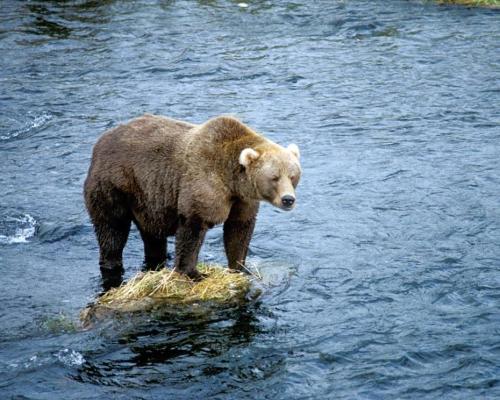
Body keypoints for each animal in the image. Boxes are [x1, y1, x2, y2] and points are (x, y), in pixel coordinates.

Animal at [84, 114, 300, 284]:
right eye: (274, 177)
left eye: (293, 176)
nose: (288, 199)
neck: (231, 180)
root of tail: (100, 142)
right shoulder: (203, 183)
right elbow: (192, 229)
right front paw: (193, 273)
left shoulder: (242, 200)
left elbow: (239, 229)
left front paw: (239, 267)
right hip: (114, 185)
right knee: (112, 229)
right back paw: (111, 263)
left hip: (147, 199)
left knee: (152, 234)